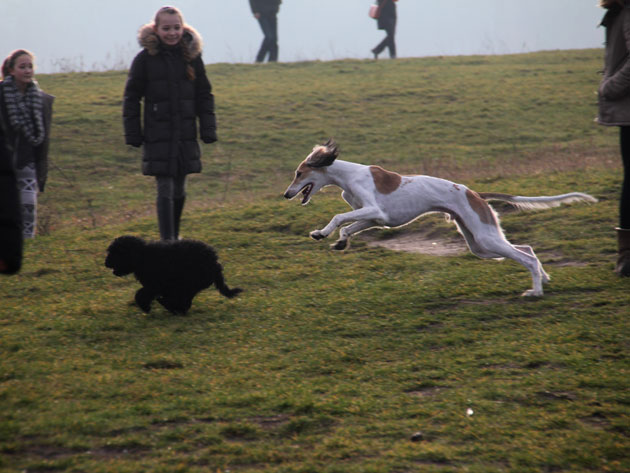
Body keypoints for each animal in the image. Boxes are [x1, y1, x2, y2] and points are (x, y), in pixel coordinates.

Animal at [105, 235, 243, 314]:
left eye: (115, 252)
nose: (106, 263)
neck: (143, 256)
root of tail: (215, 263)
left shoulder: (155, 285)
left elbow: (141, 294)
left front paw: (145, 307)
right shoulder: (162, 287)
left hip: (191, 281)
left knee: (184, 298)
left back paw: (173, 307)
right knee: (185, 299)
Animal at [284, 138, 600, 296]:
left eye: (299, 173)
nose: (286, 194)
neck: (348, 175)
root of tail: (475, 193)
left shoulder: (375, 211)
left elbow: (339, 216)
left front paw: (324, 232)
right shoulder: (375, 219)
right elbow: (349, 228)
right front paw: (335, 240)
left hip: (484, 237)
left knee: (526, 257)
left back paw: (534, 292)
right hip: (480, 243)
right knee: (527, 248)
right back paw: (543, 280)